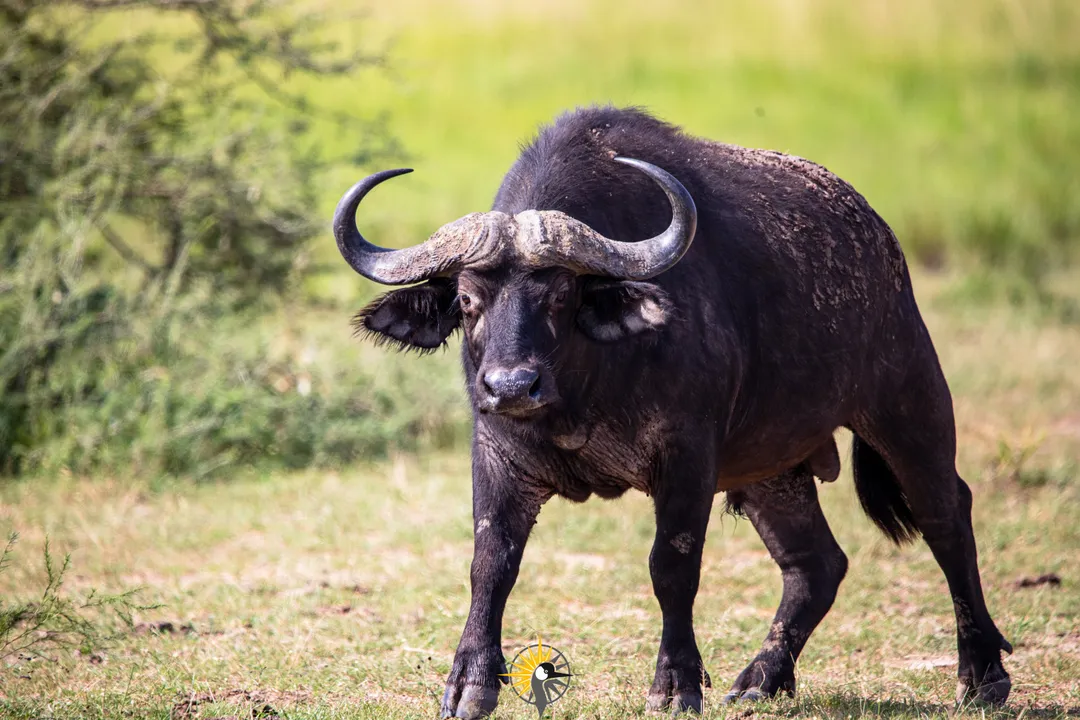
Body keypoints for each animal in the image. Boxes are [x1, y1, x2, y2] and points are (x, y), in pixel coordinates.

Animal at [330, 104, 1010, 716]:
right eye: (468, 302)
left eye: (560, 297)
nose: (511, 386)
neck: (582, 392)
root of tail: (880, 241)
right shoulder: (497, 456)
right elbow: (490, 562)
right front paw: (471, 684)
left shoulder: (687, 456)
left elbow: (672, 565)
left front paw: (676, 683)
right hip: (771, 470)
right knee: (816, 563)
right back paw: (762, 679)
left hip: (909, 404)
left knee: (947, 517)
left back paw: (983, 676)